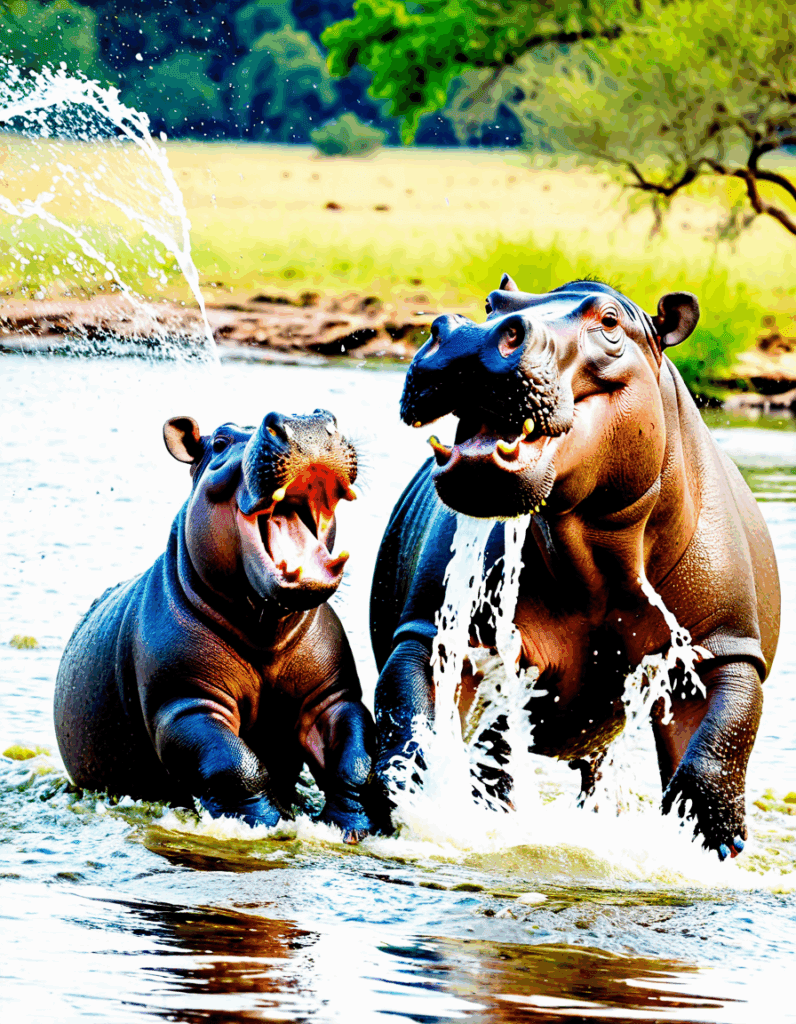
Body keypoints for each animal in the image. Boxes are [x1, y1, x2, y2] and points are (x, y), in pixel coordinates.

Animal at [55, 409, 378, 841]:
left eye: (321, 418)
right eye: (221, 441)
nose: (305, 421)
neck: (266, 629)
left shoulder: (331, 696)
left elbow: (354, 756)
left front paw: (352, 826)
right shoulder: (187, 702)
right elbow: (235, 763)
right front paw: (269, 822)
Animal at [370, 275, 780, 859]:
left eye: (609, 322)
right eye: (494, 303)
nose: (471, 336)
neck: (599, 551)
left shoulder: (723, 646)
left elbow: (714, 750)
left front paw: (706, 847)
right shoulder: (440, 632)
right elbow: (409, 719)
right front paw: (411, 804)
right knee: (498, 762)